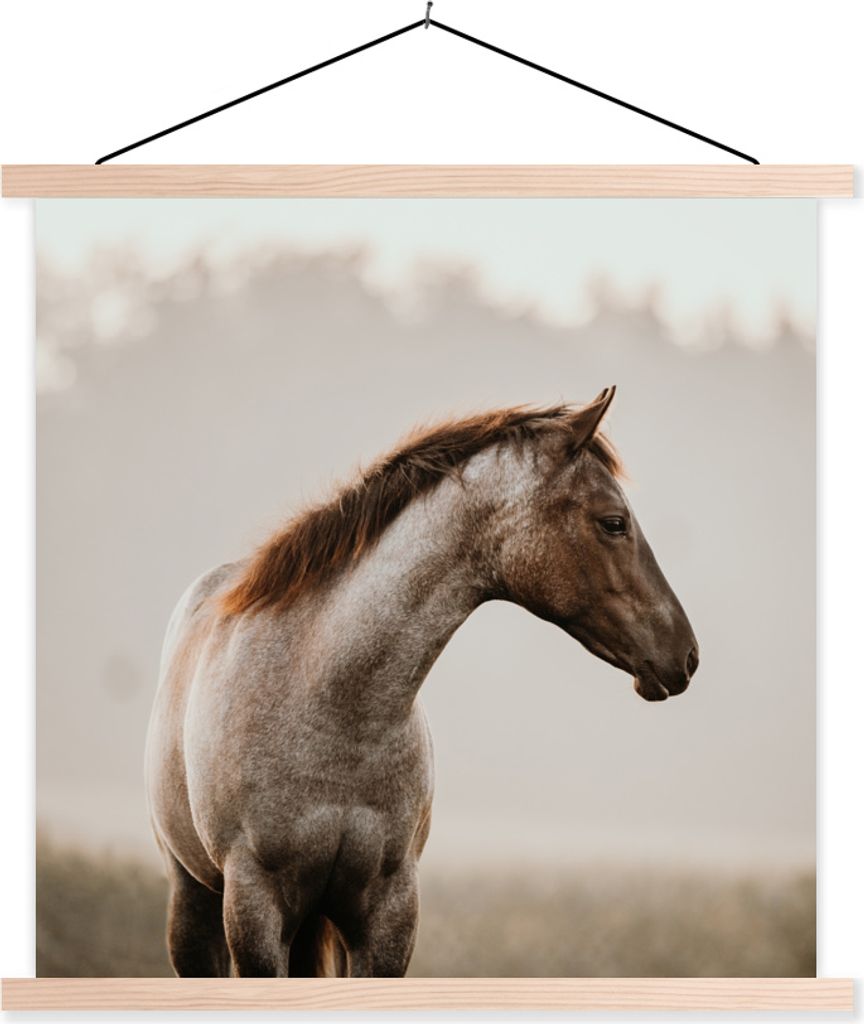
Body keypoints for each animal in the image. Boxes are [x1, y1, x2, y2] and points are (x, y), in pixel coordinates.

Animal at [145, 386, 698, 978]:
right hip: (195, 905)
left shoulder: (389, 912)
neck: (330, 705)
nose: (686, 654)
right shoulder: (255, 908)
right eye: (613, 522)